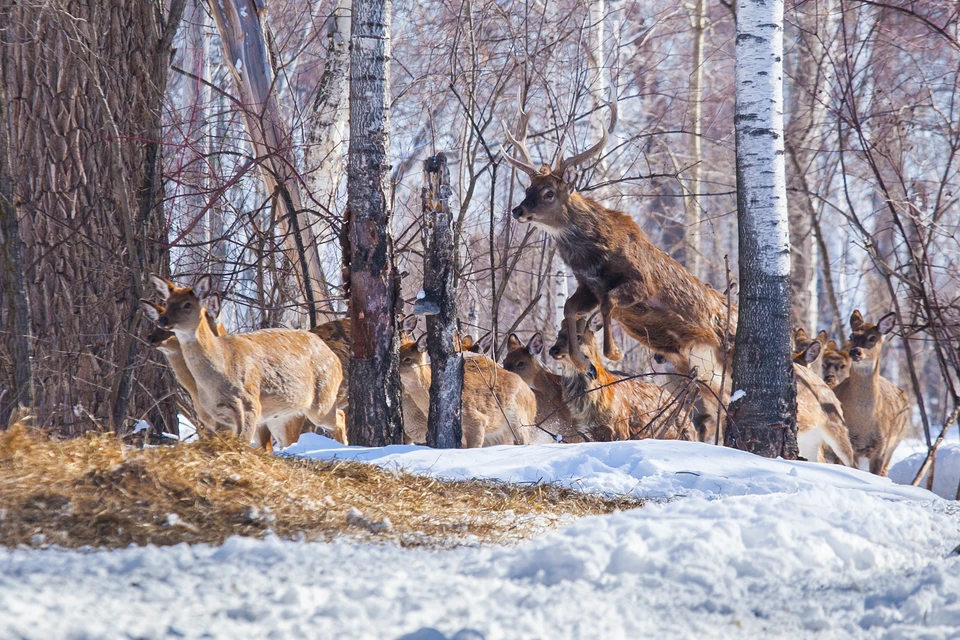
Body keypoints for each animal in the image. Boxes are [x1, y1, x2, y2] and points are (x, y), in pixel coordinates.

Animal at [146, 276, 344, 450]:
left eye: (187, 304)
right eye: (166, 303)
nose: (157, 328)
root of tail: (333, 357)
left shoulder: (251, 405)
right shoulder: (219, 418)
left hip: (320, 403)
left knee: (339, 417)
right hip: (284, 415)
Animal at [832, 310, 908, 476]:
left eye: (873, 337)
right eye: (851, 336)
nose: (855, 351)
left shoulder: (881, 447)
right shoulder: (849, 444)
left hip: (895, 443)